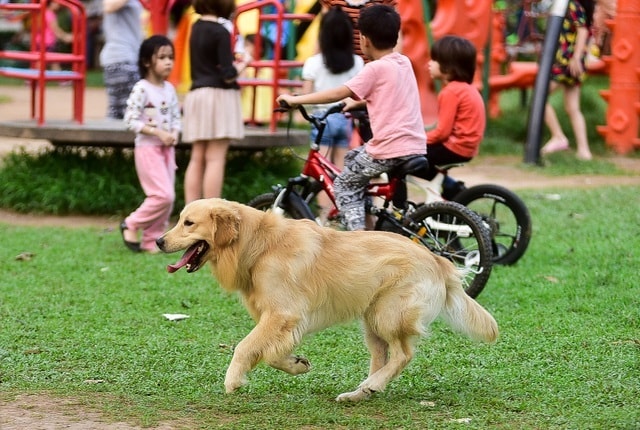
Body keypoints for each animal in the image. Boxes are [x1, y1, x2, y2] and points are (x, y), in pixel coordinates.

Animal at [156, 200, 500, 402]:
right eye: (179, 220)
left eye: (188, 223)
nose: (159, 241)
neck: (259, 244)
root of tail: (438, 260)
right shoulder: (283, 319)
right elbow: (271, 353)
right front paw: (296, 364)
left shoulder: (283, 313)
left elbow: (245, 347)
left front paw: (233, 381)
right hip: (372, 320)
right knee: (382, 355)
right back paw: (360, 391)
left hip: (389, 313)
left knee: (403, 354)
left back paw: (372, 385)